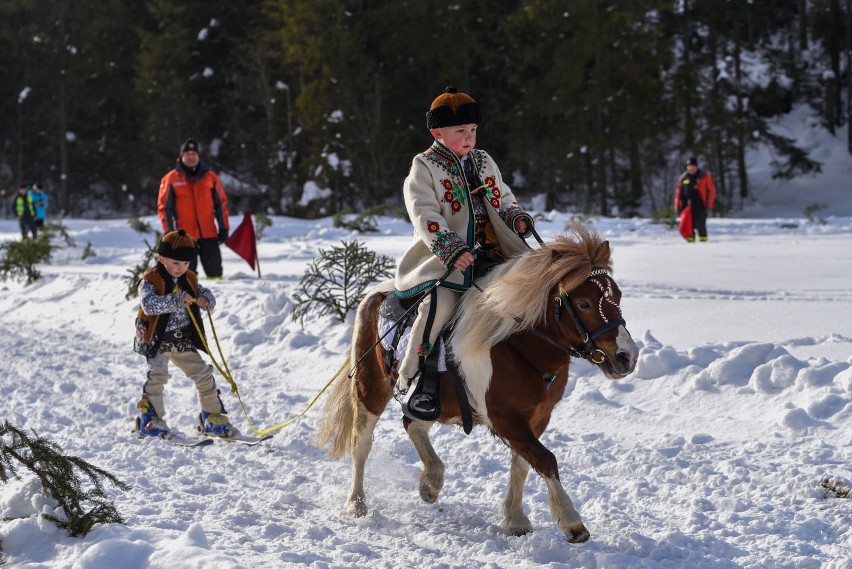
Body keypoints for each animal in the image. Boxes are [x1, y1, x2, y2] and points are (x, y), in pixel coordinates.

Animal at [316, 225, 636, 540]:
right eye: (583, 303)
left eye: (618, 296)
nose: (627, 357)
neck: (519, 343)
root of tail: (376, 294)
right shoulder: (505, 418)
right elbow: (545, 459)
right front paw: (571, 521)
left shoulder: (537, 416)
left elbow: (522, 464)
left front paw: (516, 519)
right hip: (371, 388)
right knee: (361, 444)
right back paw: (356, 503)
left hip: (437, 402)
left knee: (413, 423)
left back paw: (431, 482)